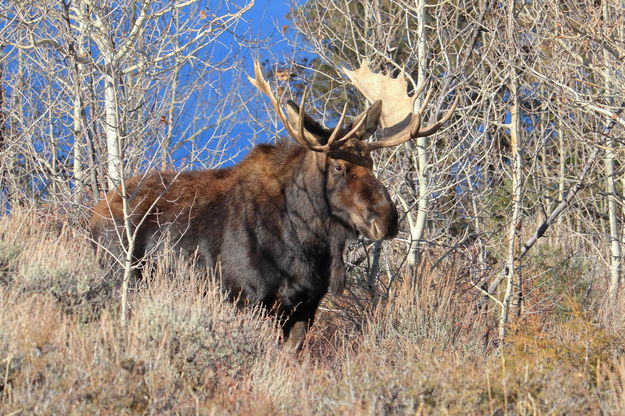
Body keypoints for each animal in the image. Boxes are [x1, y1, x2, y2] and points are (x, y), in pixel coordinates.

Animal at [90, 60, 456, 350]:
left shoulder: (306, 306)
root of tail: (94, 214)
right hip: (120, 279)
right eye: (338, 166)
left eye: (372, 163)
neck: (307, 244)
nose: (387, 218)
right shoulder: (247, 299)